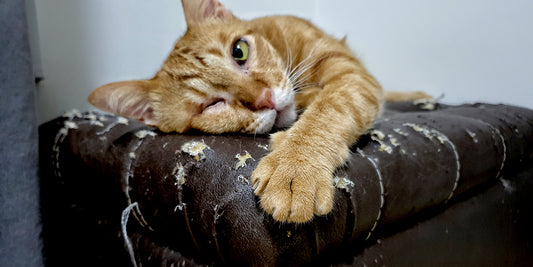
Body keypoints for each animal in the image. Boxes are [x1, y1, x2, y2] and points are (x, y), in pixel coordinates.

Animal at [88, 0, 428, 223]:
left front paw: (297, 166)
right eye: (210, 105)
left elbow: (329, 109)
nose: (265, 99)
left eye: (239, 51)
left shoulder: (351, 73)